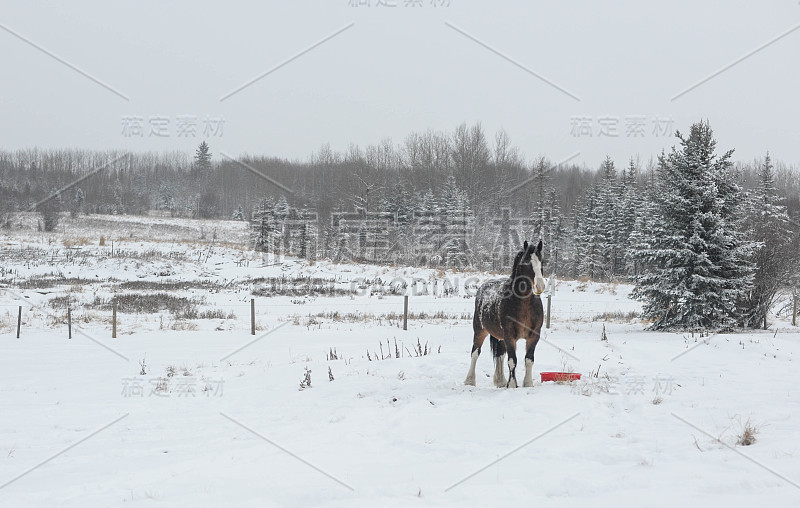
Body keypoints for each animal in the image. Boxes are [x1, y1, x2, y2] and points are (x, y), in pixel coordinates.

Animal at [466, 242, 548, 388]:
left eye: (541, 261)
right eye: (527, 261)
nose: (540, 286)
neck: (524, 304)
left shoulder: (534, 336)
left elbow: (529, 360)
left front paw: (528, 383)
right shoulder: (510, 336)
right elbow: (512, 361)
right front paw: (512, 385)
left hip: (500, 337)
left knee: (500, 355)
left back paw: (501, 381)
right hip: (480, 330)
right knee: (475, 353)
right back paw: (470, 380)